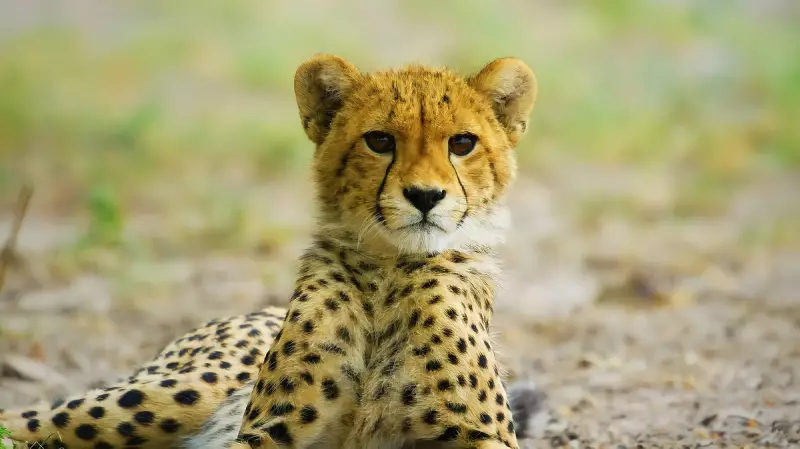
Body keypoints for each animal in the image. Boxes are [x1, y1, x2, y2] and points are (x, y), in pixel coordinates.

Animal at [0, 53, 540, 449]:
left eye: (463, 143)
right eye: (379, 140)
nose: (425, 196)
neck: (389, 270)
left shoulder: (480, 436)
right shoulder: (270, 431)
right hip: (174, 396)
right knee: (30, 416)